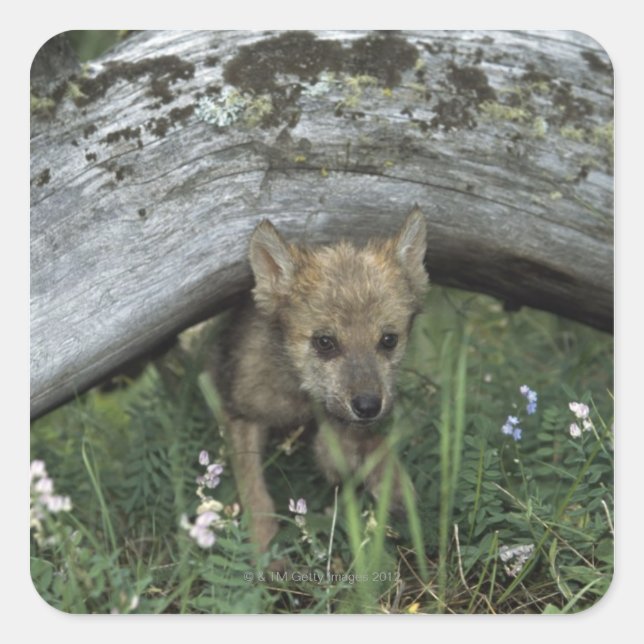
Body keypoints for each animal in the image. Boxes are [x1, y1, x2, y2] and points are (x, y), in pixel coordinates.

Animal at [213, 208, 429, 555]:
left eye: (389, 340)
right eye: (325, 342)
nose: (368, 406)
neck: (299, 397)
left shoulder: (338, 420)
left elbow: (360, 444)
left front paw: (392, 483)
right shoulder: (240, 413)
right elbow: (255, 492)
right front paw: (263, 549)